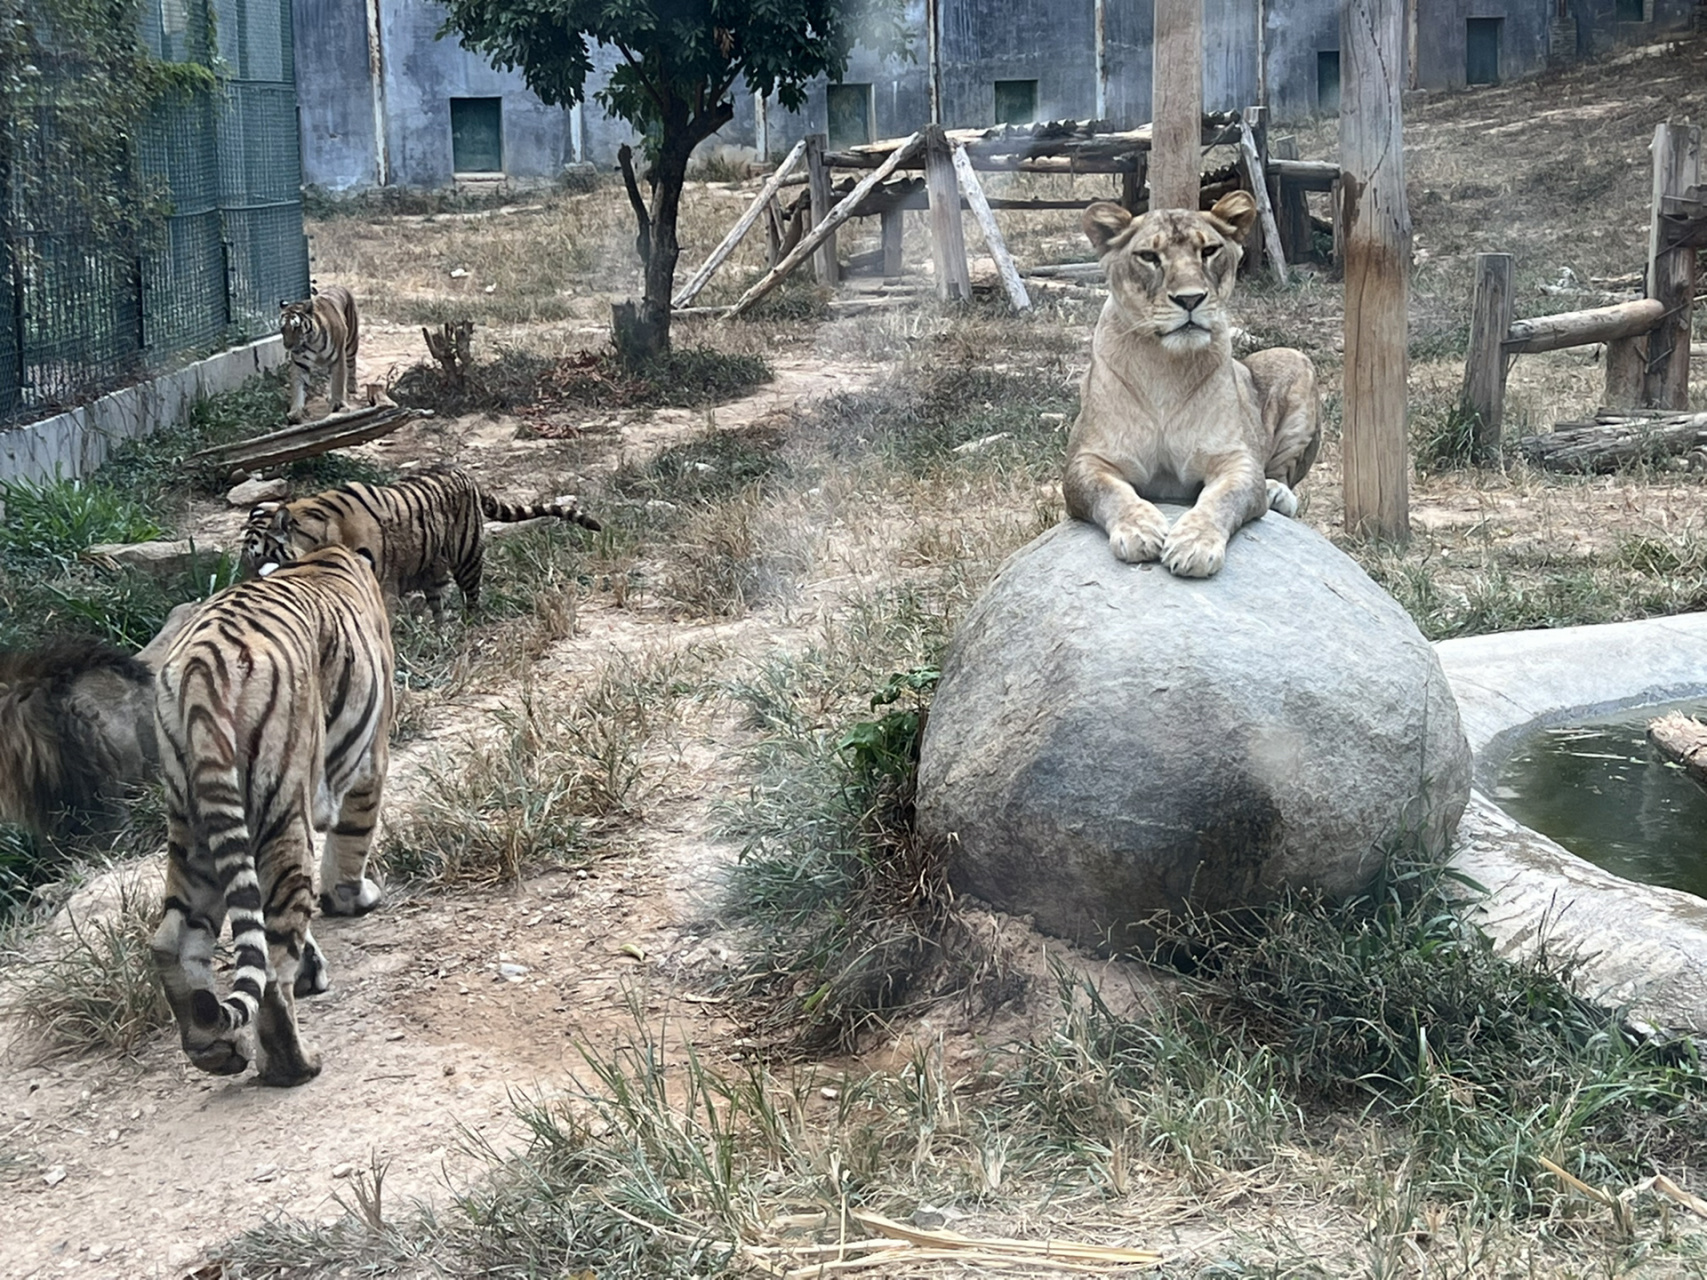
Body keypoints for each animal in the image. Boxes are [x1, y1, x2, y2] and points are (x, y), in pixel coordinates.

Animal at [148, 542, 394, 1092]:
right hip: (283, 814)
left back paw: (215, 1050)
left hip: (192, 826)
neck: (320, 556)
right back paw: (294, 1065)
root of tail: (201, 670)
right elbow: (352, 839)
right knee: (274, 962)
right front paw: (353, 898)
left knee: (174, 941)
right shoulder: (372, 758)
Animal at [244, 467, 604, 624]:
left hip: (467, 556)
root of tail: (464, 473)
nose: (249, 584)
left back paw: (468, 628)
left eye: (259, 557)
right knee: (438, 604)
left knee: (472, 598)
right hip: (433, 568)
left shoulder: (382, 586)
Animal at [279, 285, 360, 426]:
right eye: (283, 329)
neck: (312, 342)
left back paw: (351, 386)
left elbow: (338, 382)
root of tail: (338, 286)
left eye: (296, 327)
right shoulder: (299, 364)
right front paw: (295, 411)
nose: (288, 346)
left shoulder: (338, 359)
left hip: (351, 343)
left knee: (351, 365)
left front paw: (338, 404)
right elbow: (297, 387)